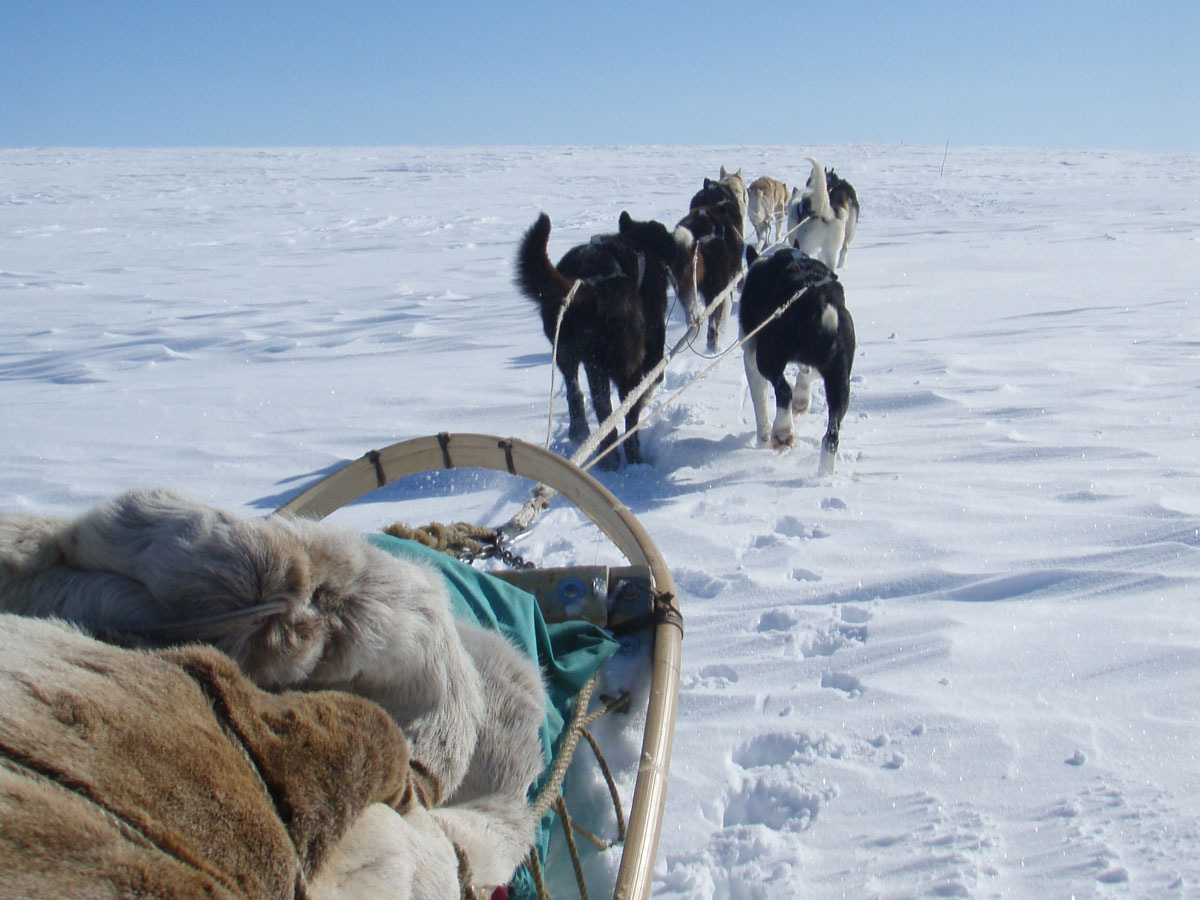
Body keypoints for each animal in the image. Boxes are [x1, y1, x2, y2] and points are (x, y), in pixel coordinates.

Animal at [513, 208, 676, 468]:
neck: (638, 244)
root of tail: (587, 286)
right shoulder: (654, 342)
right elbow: (655, 378)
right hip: (624, 364)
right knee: (626, 413)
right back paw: (632, 456)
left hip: (571, 355)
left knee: (583, 398)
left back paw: (594, 444)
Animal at [739, 244, 854, 472]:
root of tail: (818, 299)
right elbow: (807, 373)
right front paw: (802, 400)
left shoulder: (750, 356)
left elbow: (760, 404)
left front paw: (762, 441)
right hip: (840, 378)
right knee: (831, 435)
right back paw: (824, 473)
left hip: (768, 358)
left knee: (784, 390)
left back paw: (782, 433)